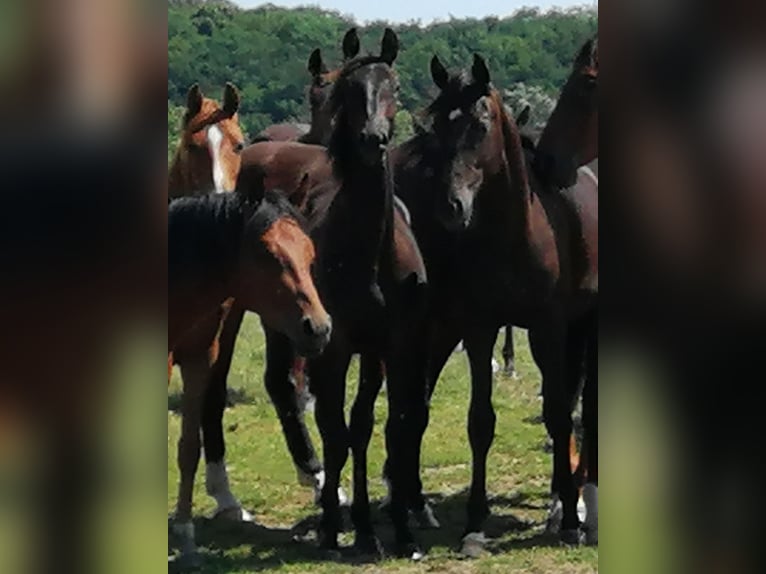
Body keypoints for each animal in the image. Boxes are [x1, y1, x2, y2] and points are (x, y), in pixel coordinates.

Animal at [170, 186, 332, 568]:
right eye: (267, 253)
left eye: (310, 252)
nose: (318, 328)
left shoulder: (199, 359)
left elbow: (189, 448)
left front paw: (185, 534)